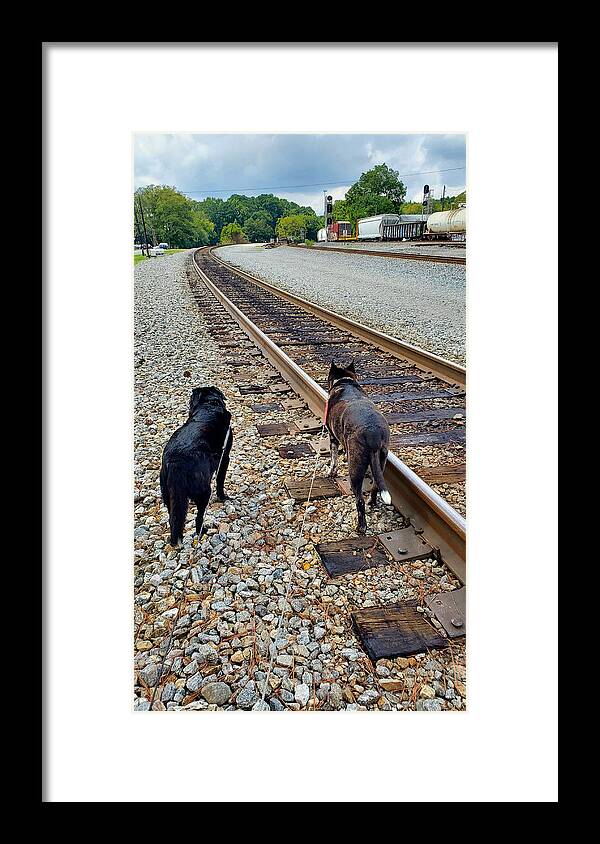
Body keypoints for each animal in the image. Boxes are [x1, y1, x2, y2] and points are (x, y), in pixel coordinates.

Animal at [158, 384, 233, 544]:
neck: (208, 405)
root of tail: (176, 461)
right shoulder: (225, 458)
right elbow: (220, 481)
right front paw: (223, 497)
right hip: (204, 491)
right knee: (199, 518)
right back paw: (202, 531)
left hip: (168, 496)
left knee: (173, 520)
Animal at [326, 362, 392, 536]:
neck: (345, 382)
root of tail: (373, 432)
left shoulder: (332, 437)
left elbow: (333, 459)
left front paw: (331, 472)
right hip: (381, 459)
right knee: (375, 486)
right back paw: (372, 502)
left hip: (355, 468)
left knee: (359, 500)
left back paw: (361, 527)